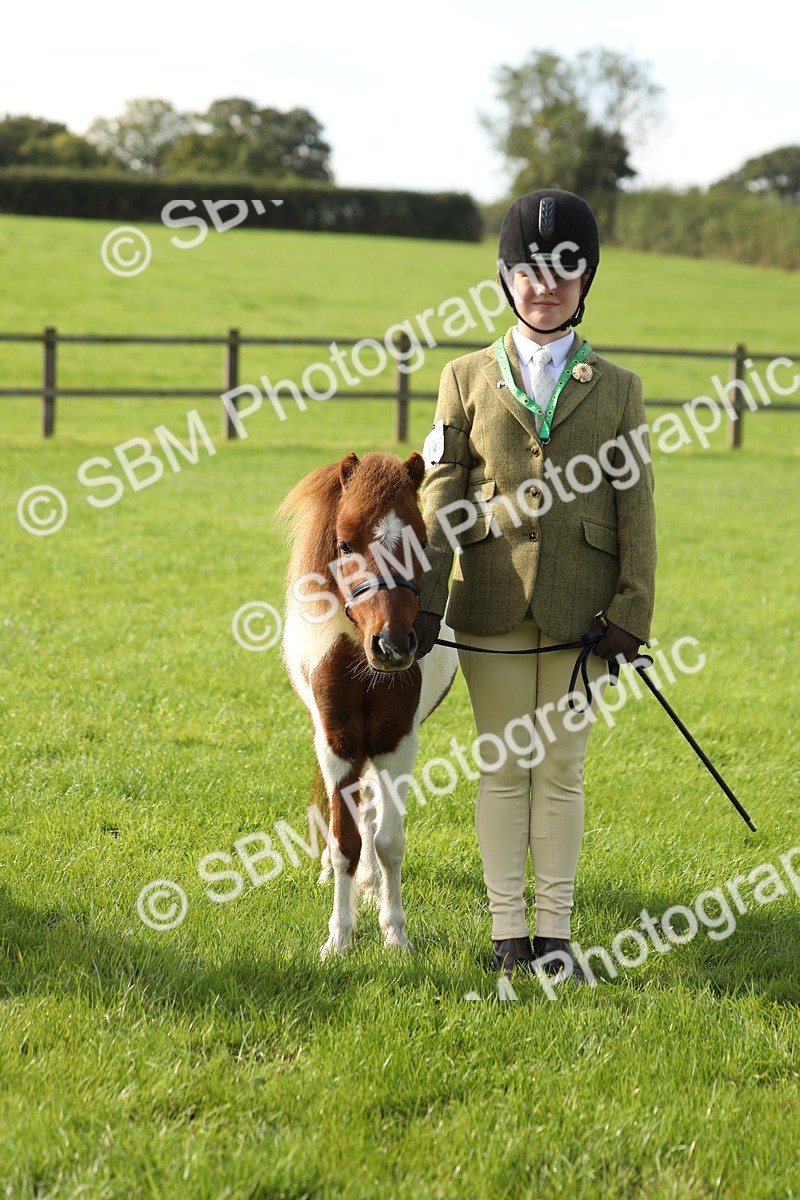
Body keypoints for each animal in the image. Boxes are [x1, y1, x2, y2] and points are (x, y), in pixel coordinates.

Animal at [278, 450, 458, 959]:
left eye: (422, 541)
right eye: (343, 543)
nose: (393, 645)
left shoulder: (396, 744)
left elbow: (389, 841)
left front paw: (394, 932)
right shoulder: (337, 744)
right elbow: (346, 842)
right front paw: (338, 938)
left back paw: (372, 883)